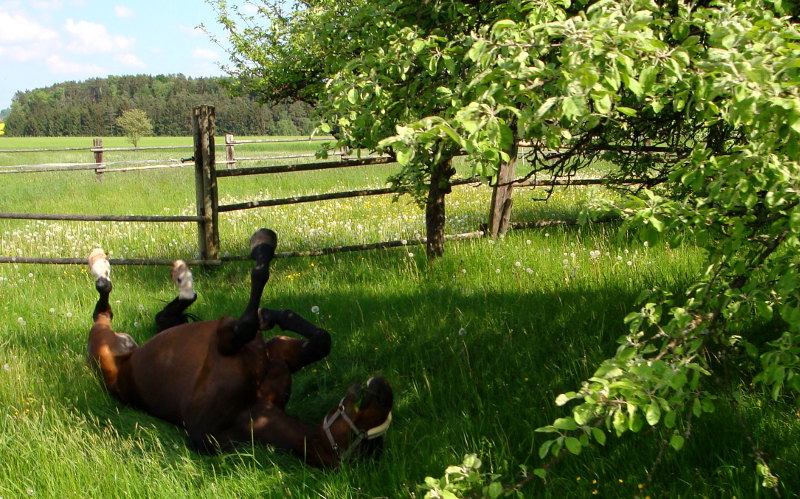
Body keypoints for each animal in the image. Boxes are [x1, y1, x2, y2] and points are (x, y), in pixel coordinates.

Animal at [86, 230, 392, 468]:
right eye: (365, 419)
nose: (383, 387)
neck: (251, 412)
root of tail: (124, 355)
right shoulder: (259, 347)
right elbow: (313, 338)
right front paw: (263, 249)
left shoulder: (239, 344)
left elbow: (263, 324)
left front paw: (269, 311)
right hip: (105, 343)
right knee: (116, 304)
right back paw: (104, 263)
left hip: (102, 343)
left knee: (115, 309)